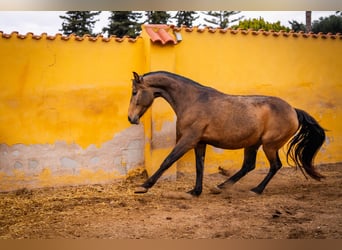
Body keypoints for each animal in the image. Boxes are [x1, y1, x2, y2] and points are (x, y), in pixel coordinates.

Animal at [127, 70, 326, 195]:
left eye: (135, 92)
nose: (131, 118)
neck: (192, 100)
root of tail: (294, 110)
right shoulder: (200, 142)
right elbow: (199, 166)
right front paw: (195, 191)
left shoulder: (188, 140)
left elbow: (167, 161)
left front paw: (143, 187)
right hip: (253, 144)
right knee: (248, 166)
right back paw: (220, 187)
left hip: (269, 145)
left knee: (275, 166)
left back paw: (256, 190)